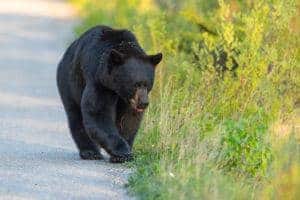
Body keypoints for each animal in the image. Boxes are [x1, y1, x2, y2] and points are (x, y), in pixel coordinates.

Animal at [57, 25, 163, 162]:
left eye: (148, 84)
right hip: (69, 83)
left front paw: (122, 152)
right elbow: (98, 113)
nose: (143, 103)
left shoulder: (127, 100)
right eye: (136, 84)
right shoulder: (99, 82)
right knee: (76, 116)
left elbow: (128, 120)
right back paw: (90, 152)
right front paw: (122, 151)